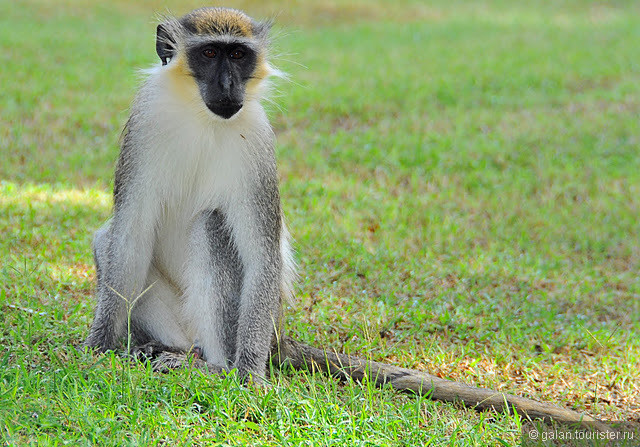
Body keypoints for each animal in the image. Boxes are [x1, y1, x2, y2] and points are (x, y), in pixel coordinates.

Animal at [84, 7, 296, 382]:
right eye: (209, 53)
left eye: (238, 54)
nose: (227, 85)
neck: (201, 117)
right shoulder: (144, 123)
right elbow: (129, 236)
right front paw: (100, 344)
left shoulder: (257, 141)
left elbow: (262, 258)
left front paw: (250, 374)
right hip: (178, 322)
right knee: (105, 238)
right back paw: (164, 350)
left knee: (210, 223)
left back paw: (215, 368)